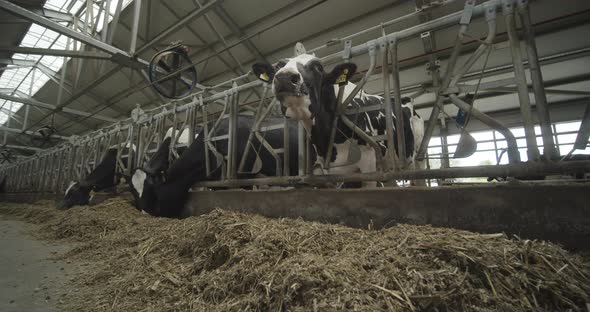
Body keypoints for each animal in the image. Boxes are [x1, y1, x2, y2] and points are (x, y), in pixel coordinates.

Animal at [252, 53, 428, 186]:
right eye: (278, 67)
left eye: (318, 67)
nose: (285, 77)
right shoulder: (323, 170)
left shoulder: (369, 164)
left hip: (417, 157)